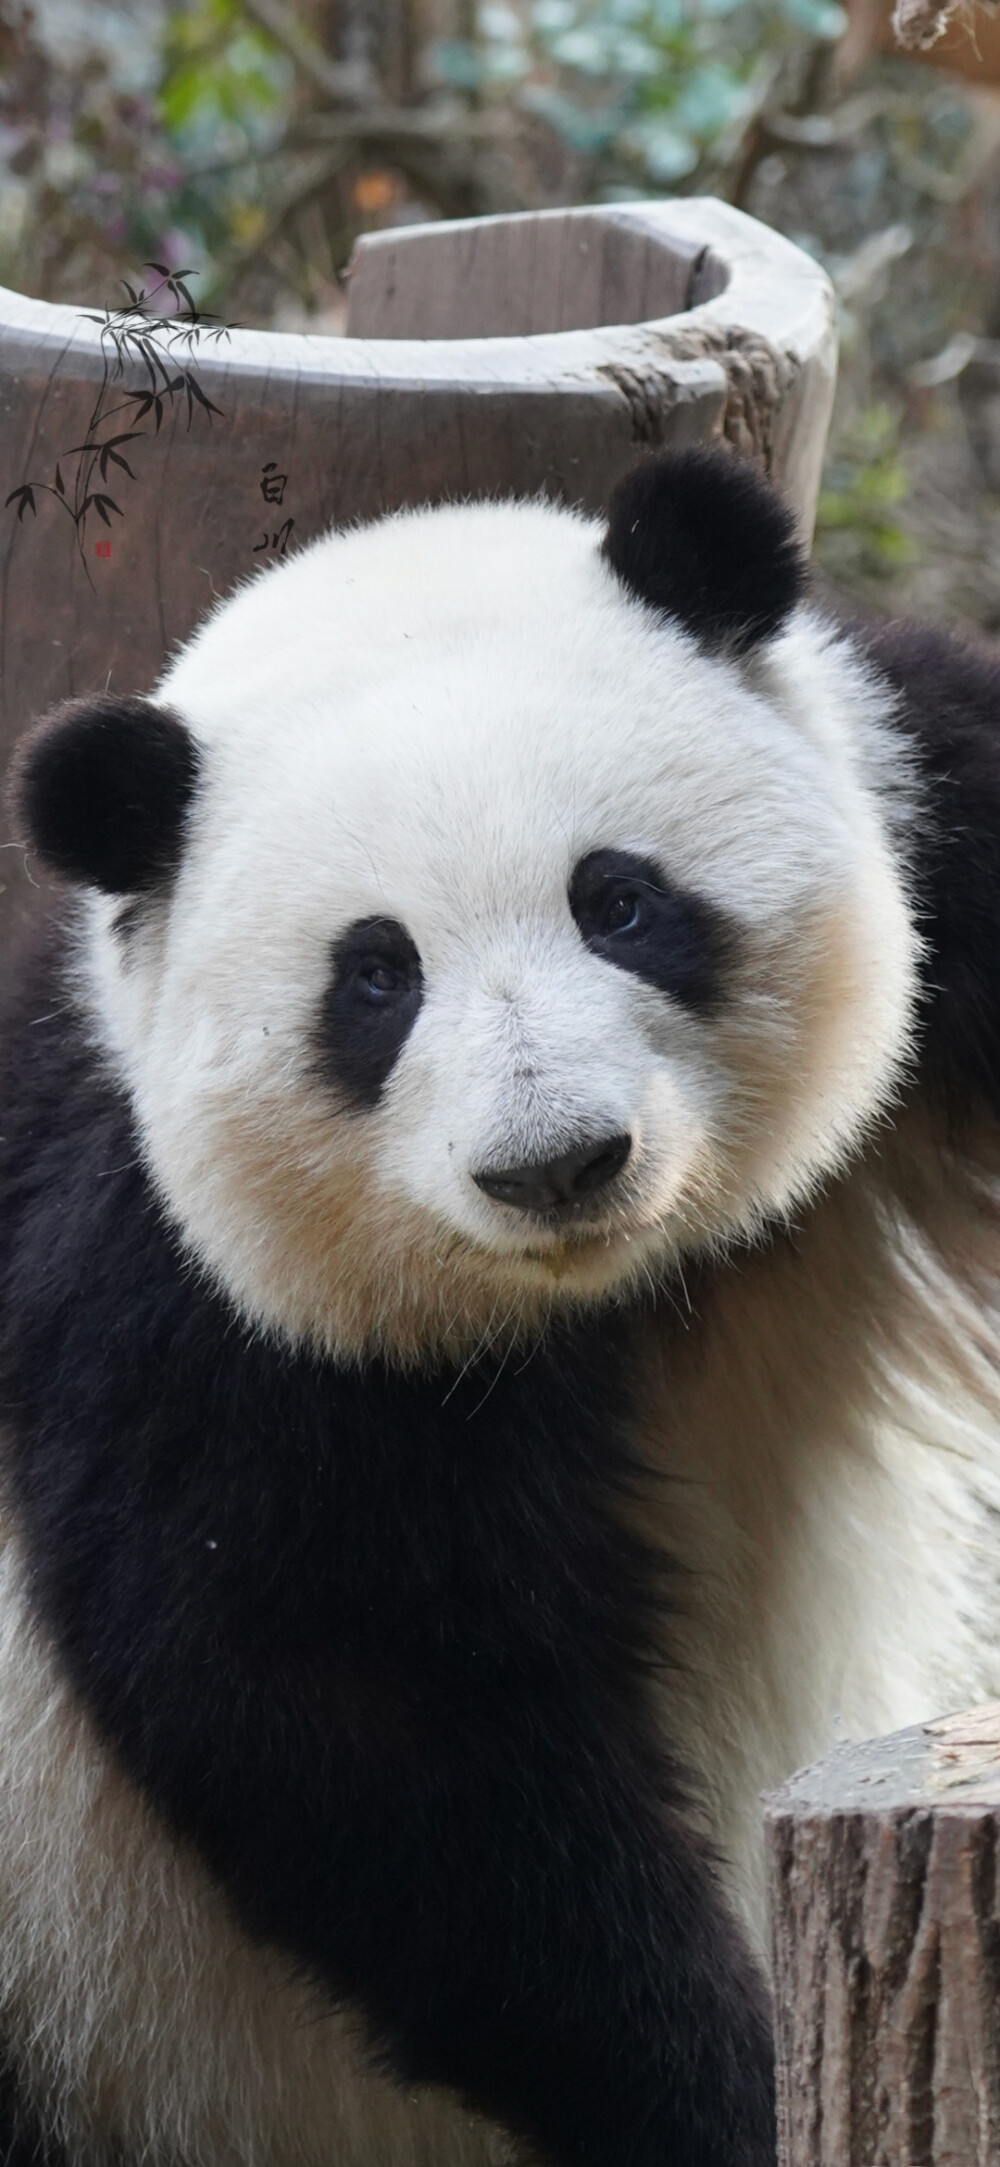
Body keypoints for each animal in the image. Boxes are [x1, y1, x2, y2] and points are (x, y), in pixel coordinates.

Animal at [1, 444, 997, 2167]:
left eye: (620, 898)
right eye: (375, 976)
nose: (559, 1162)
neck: (627, 1287)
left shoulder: (933, 812)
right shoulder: (182, 1289)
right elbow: (363, 1715)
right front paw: (724, 2088)